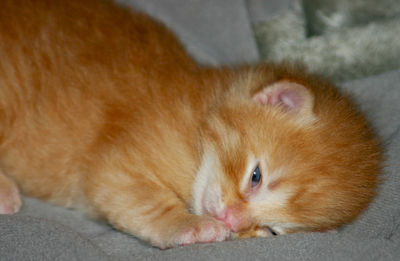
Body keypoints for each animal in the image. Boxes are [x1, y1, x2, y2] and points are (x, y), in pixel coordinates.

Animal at [0, 0, 382, 248]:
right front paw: (190, 226)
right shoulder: (115, 164)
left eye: (271, 230)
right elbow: (138, 198)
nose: (230, 221)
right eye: (255, 176)